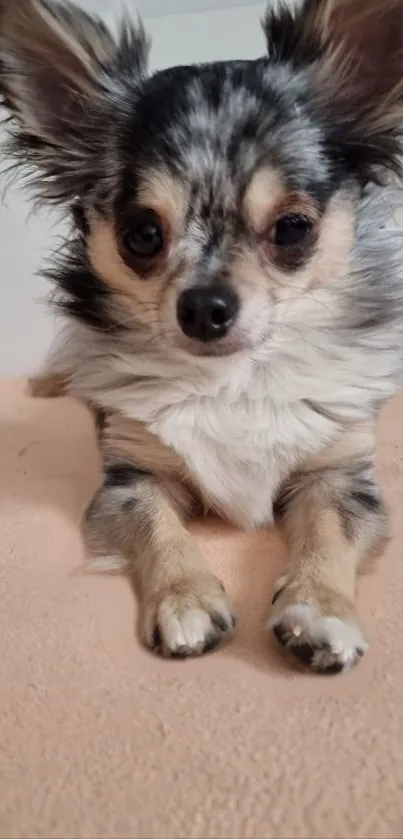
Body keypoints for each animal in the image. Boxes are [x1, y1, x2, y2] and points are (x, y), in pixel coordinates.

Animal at [1, 0, 402, 676]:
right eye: (141, 235)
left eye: (293, 229)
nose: (205, 307)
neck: (232, 378)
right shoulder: (131, 478)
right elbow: (159, 528)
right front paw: (185, 597)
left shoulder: (340, 476)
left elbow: (328, 533)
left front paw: (319, 608)